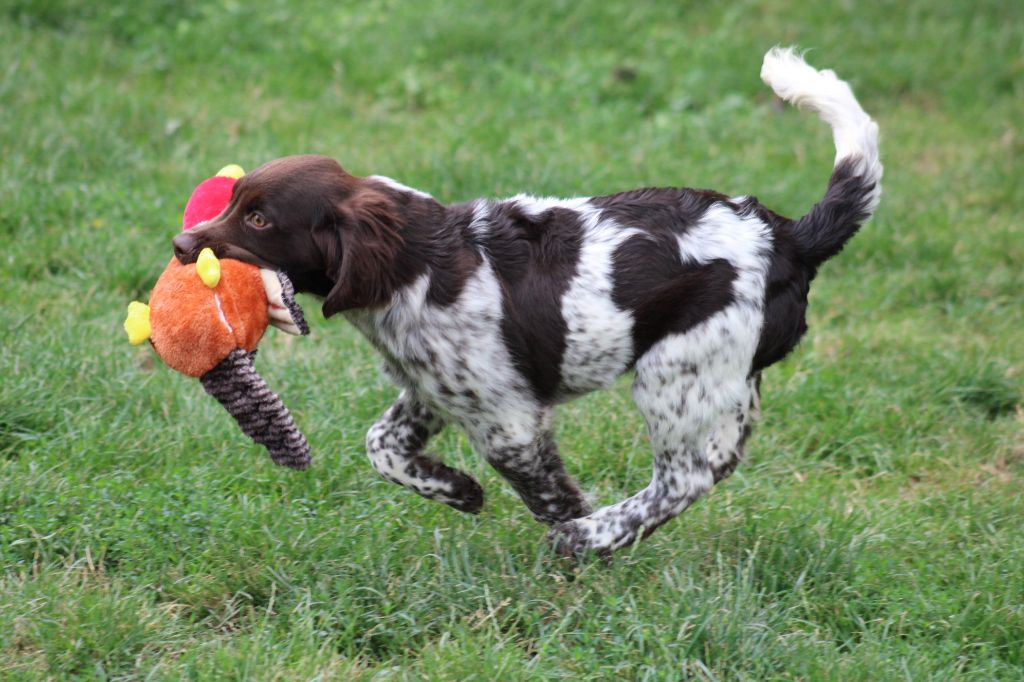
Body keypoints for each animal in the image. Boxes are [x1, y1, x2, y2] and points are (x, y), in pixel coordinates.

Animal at [174, 50, 880, 557]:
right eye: (234, 203)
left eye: (258, 220)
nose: (181, 245)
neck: (415, 263)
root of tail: (788, 236)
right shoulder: (432, 390)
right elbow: (381, 444)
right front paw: (459, 492)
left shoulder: (507, 419)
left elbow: (543, 489)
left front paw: (568, 529)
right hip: (719, 374)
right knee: (723, 454)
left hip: (673, 371)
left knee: (686, 476)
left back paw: (593, 538)